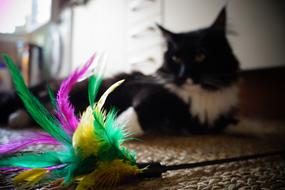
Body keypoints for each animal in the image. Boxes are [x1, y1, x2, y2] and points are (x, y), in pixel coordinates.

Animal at [0, 7, 240, 135]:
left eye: (200, 55)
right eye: (176, 58)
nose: (183, 75)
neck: (199, 96)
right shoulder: (144, 92)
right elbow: (136, 114)